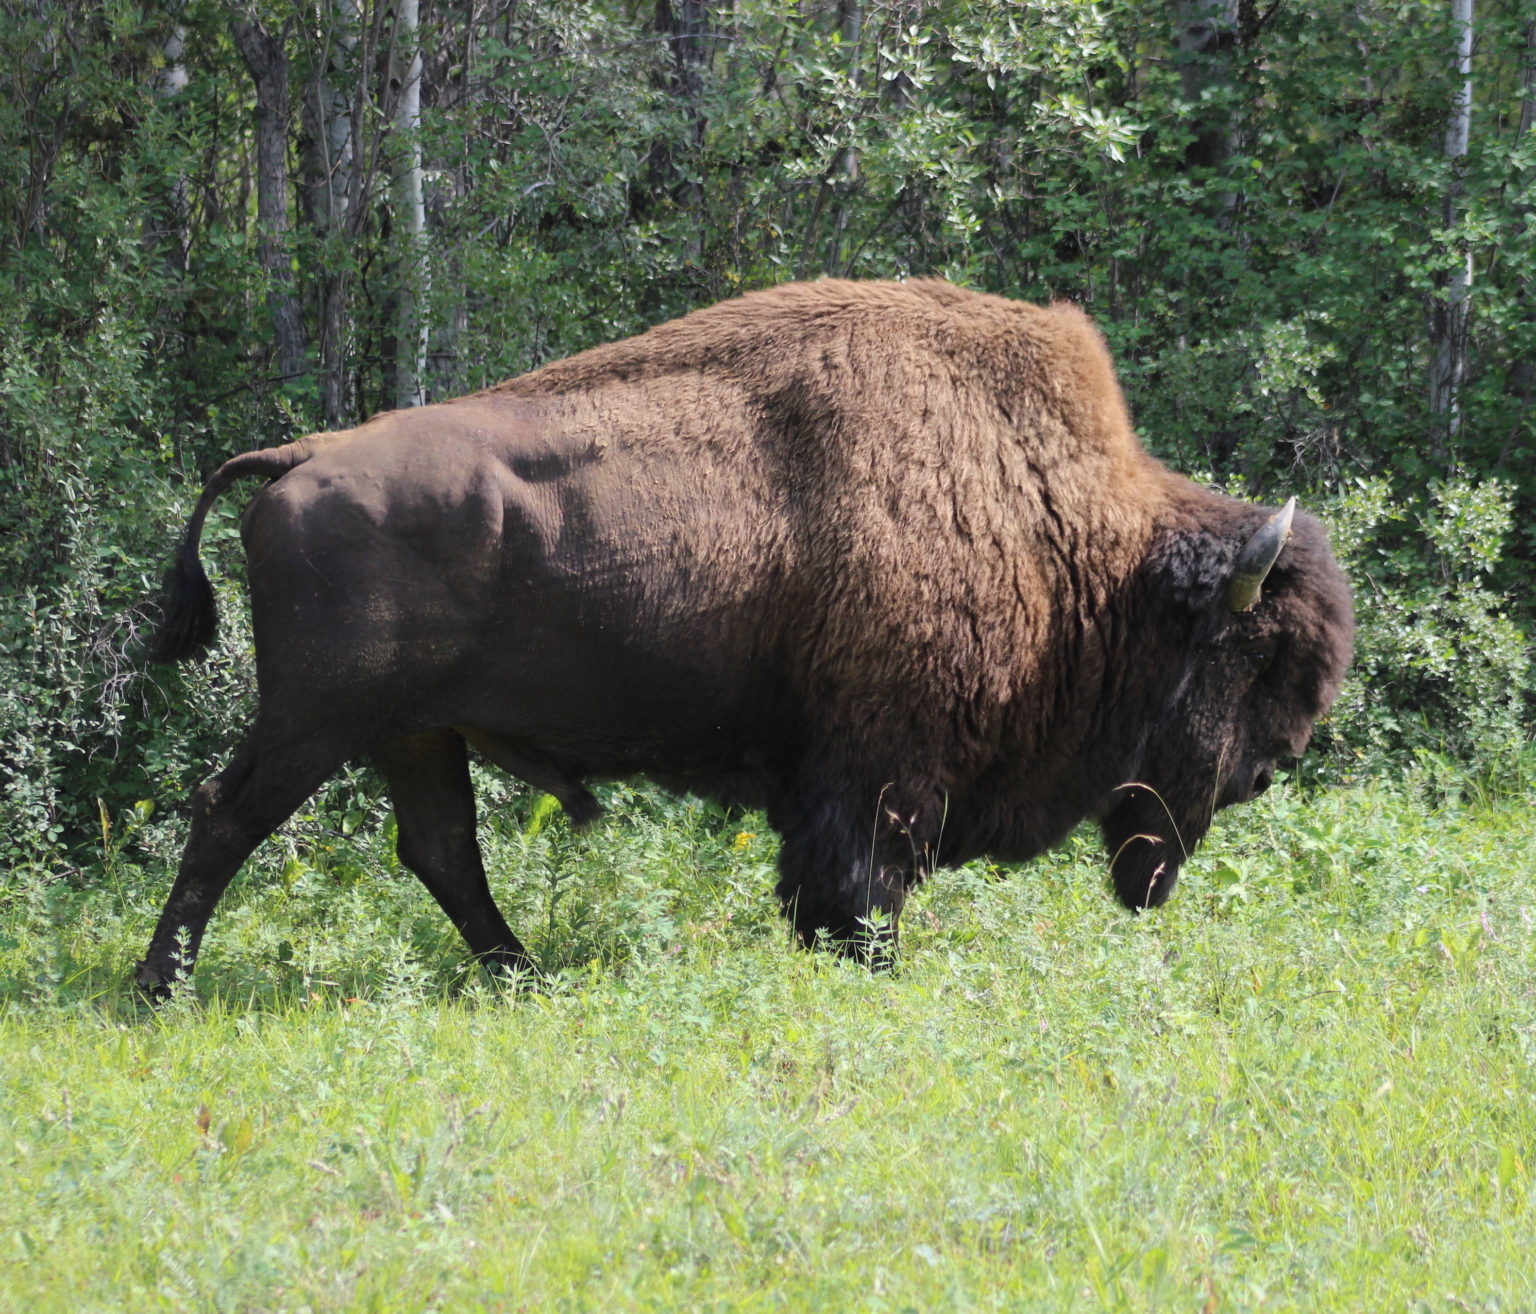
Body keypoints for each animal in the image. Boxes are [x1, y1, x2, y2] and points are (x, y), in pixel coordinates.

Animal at [138, 279, 1351, 995]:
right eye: (1248, 657)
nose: (1269, 768)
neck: (1068, 531)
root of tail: (301, 456)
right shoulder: (879, 768)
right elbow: (860, 880)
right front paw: (871, 969)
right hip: (317, 720)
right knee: (227, 817)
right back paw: (161, 987)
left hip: (412, 732)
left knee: (439, 849)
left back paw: (524, 976)